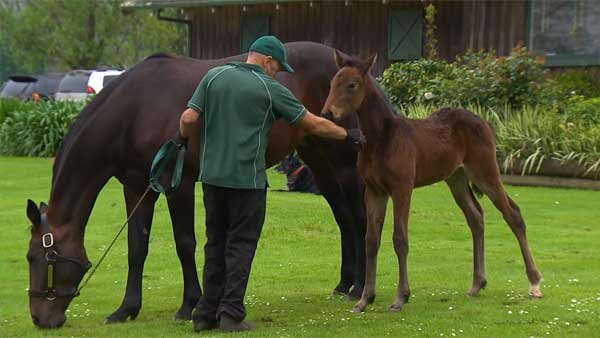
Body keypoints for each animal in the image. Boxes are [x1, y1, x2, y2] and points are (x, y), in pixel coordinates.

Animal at [324, 51, 544, 312]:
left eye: (352, 85)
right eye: (332, 83)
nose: (328, 113)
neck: (382, 139)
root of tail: (483, 122)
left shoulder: (402, 188)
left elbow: (400, 239)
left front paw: (400, 298)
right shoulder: (375, 191)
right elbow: (371, 240)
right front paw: (365, 299)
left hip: (485, 171)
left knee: (513, 214)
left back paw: (534, 283)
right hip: (456, 179)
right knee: (476, 217)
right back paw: (477, 284)